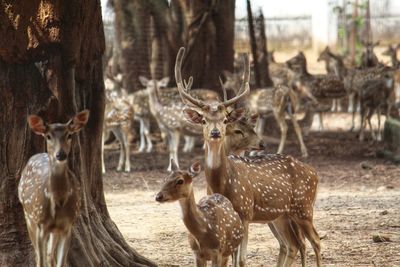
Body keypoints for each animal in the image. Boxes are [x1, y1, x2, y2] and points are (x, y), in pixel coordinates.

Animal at [18, 110, 89, 267]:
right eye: (48, 136)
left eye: (69, 135)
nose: (60, 154)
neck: (58, 201)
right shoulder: (41, 223)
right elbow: (41, 260)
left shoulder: (67, 225)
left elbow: (60, 262)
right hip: (28, 216)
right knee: (38, 255)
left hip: (54, 230)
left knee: (51, 255)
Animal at [176, 48, 322, 267]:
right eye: (203, 120)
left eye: (225, 120)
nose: (215, 133)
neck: (222, 183)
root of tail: (315, 173)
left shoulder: (245, 212)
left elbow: (242, 260)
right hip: (282, 215)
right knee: (294, 244)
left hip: (303, 207)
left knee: (315, 241)